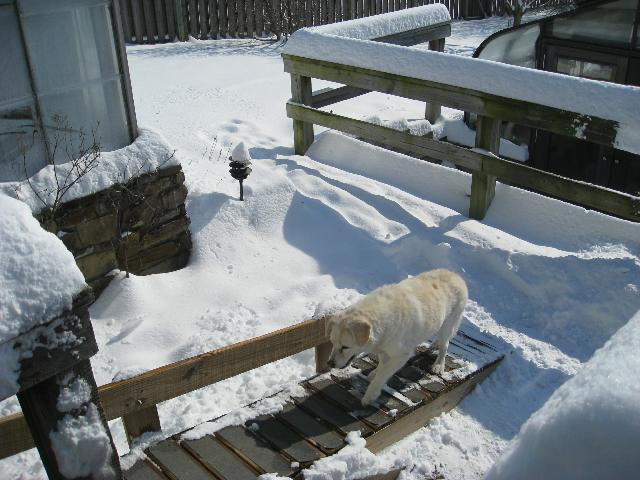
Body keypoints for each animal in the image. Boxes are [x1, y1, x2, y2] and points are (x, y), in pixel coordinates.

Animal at [328, 270, 468, 404]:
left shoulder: (402, 355)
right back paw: (434, 346)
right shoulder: (385, 350)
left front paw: (371, 394)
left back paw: (438, 365)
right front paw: (375, 373)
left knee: (445, 345)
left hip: (447, 326)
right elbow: (382, 366)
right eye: (332, 343)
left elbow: (383, 374)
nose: (329, 363)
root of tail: (457, 275)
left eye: (345, 347)